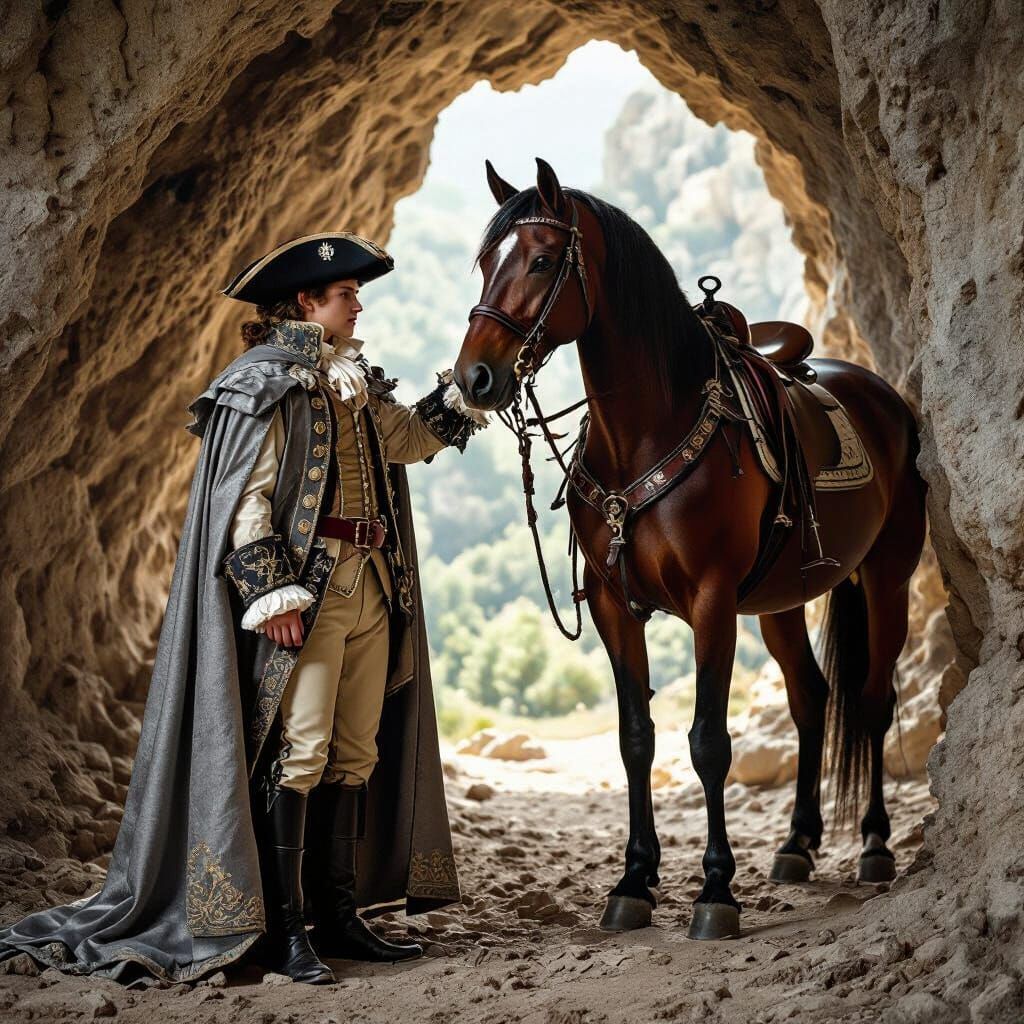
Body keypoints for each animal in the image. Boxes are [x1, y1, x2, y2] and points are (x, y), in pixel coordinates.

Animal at [452, 157, 927, 940]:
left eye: (544, 260)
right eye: (487, 262)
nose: (475, 377)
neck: (645, 432)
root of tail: (884, 396)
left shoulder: (710, 601)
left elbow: (709, 741)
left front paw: (715, 891)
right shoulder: (615, 607)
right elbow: (635, 737)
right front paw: (634, 882)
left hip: (886, 581)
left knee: (871, 701)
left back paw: (874, 845)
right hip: (781, 602)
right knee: (811, 698)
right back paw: (797, 844)